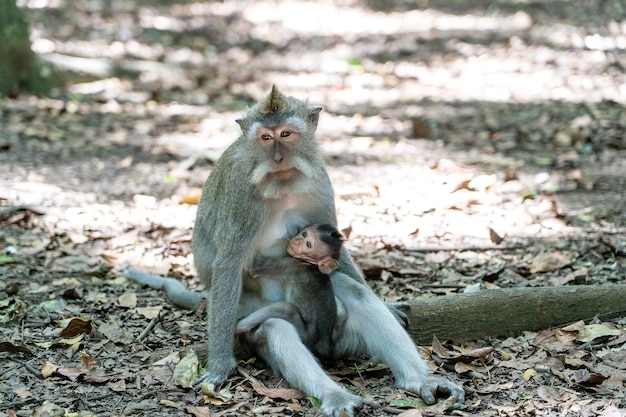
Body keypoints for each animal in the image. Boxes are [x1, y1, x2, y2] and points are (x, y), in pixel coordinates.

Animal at [235, 224, 342, 358]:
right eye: (304, 234)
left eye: (308, 245)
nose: (296, 241)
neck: (311, 264)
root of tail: (323, 346)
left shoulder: (289, 264)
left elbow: (255, 265)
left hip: (304, 335)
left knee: (286, 309)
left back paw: (239, 327)